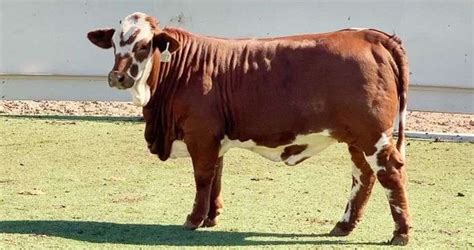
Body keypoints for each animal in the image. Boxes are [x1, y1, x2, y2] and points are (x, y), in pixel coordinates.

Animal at [88, 12, 412, 245]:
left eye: (144, 46)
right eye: (114, 45)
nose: (117, 77)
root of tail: (368, 35)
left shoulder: (200, 135)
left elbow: (202, 177)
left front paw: (193, 219)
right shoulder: (214, 138)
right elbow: (216, 176)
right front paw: (211, 217)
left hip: (374, 136)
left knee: (390, 173)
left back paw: (401, 233)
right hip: (356, 139)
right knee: (364, 177)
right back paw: (343, 226)